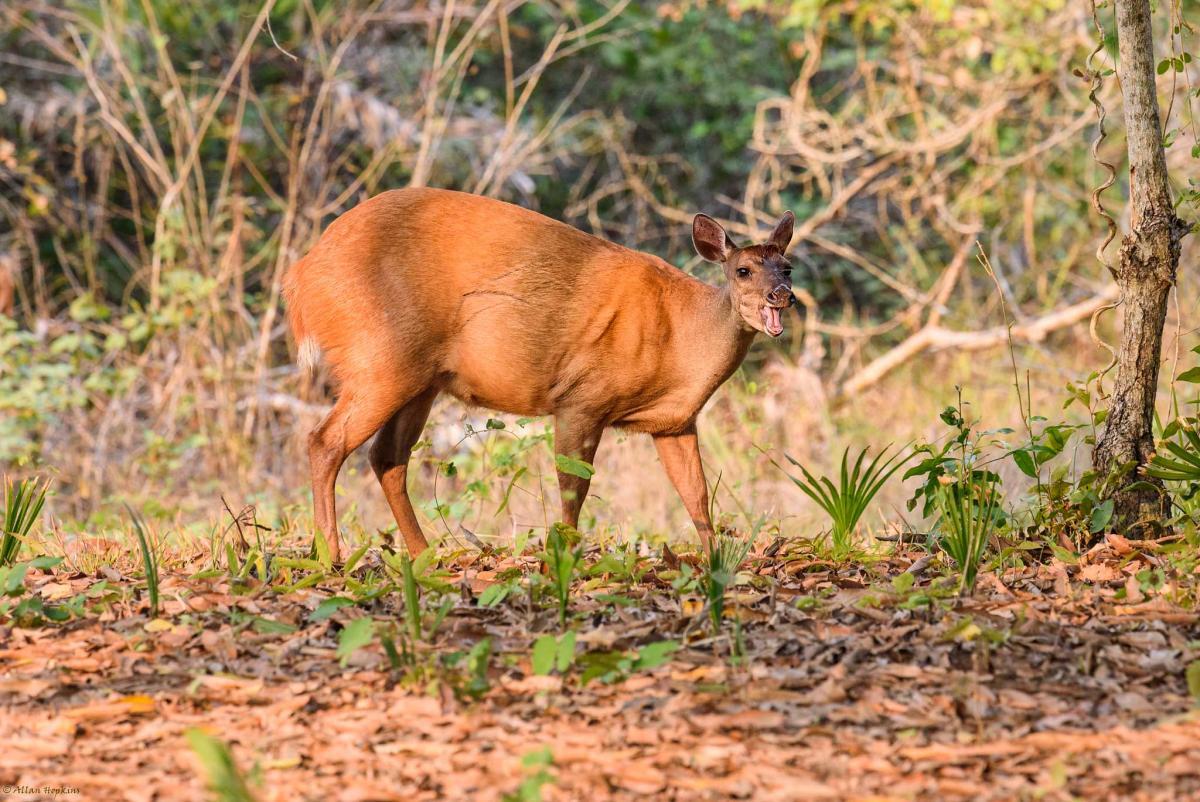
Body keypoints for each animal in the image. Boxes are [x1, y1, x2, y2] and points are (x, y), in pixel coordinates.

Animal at [284, 190, 792, 561]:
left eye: (787, 266)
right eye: (743, 270)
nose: (782, 295)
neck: (680, 346)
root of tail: (301, 276)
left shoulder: (674, 422)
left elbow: (697, 496)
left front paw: (718, 560)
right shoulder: (582, 398)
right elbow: (574, 487)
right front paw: (563, 556)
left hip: (420, 379)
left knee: (386, 456)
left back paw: (425, 555)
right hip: (379, 356)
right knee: (325, 441)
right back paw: (332, 556)